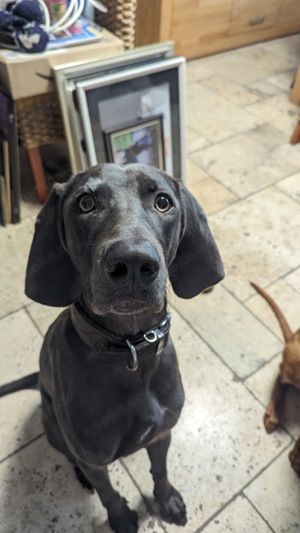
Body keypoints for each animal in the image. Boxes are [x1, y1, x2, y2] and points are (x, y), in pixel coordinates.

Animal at [2, 164, 224, 528]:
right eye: (86, 202)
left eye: (163, 202)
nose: (133, 263)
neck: (129, 351)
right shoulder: (93, 456)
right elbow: (107, 492)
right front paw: (120, 519)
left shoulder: (161, 433)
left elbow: (160, 471)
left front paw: (167, 501)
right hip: (54, 428)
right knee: (73, 459)